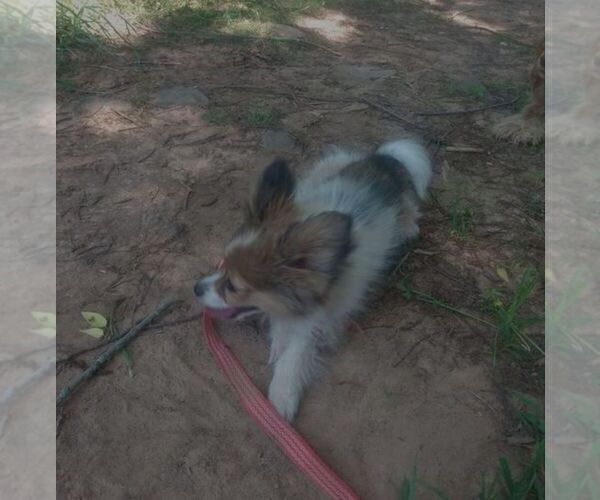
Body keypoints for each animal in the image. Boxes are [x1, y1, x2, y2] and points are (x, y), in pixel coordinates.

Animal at [196, 139, 432, 420]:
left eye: (232, 287)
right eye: (223, 264)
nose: (196, 288)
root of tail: (383, 158)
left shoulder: (325, 317)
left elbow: (297, 351)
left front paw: (282, 394)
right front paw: (279, 340)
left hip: (402, 203)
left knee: (410, 210)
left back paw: (407, 227)